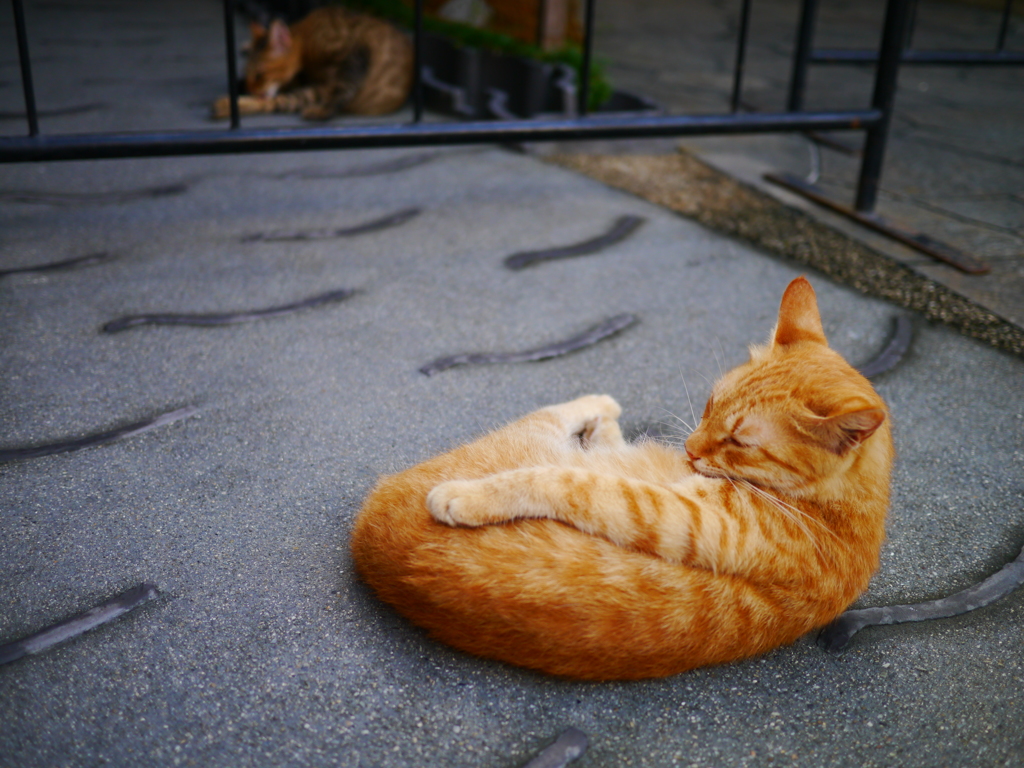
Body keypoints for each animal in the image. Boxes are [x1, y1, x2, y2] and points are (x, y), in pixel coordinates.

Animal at [211, 6, 411, 120]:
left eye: (260, 75)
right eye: (249, 74)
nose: (251, 89)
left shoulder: (353, 55)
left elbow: (342, 90)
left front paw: (322, 112)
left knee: (277, 102)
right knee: (277, 102)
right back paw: (225, 105)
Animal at [352, 280, 897, 684]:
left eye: (740, 441)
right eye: (710, 402)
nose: (690, 449)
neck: (836, 509)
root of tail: (366, 539)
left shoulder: (677, 515)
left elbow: (565, 482)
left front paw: (469, 497)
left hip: (539, 434)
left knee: (560, 420)